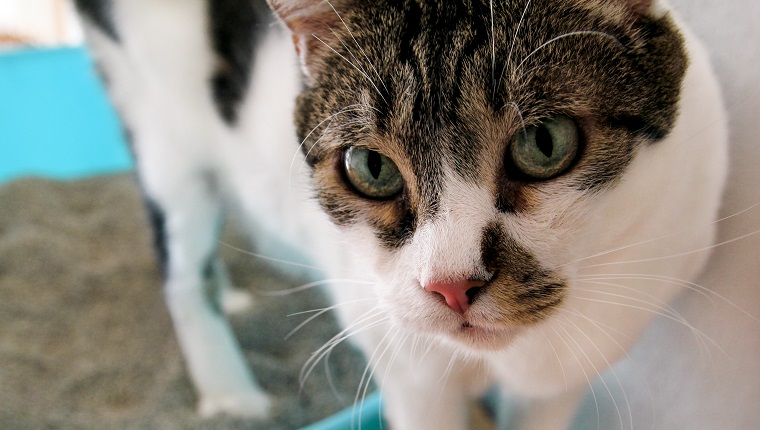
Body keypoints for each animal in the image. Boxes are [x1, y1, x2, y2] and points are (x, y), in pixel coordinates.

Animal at [72, 0, 760, 428]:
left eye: (545, 144)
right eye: (371, 168)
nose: (450, 285)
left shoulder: (561, 380)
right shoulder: (411, 373)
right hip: (163, 138)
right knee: (181, 274)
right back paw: (230, 394)